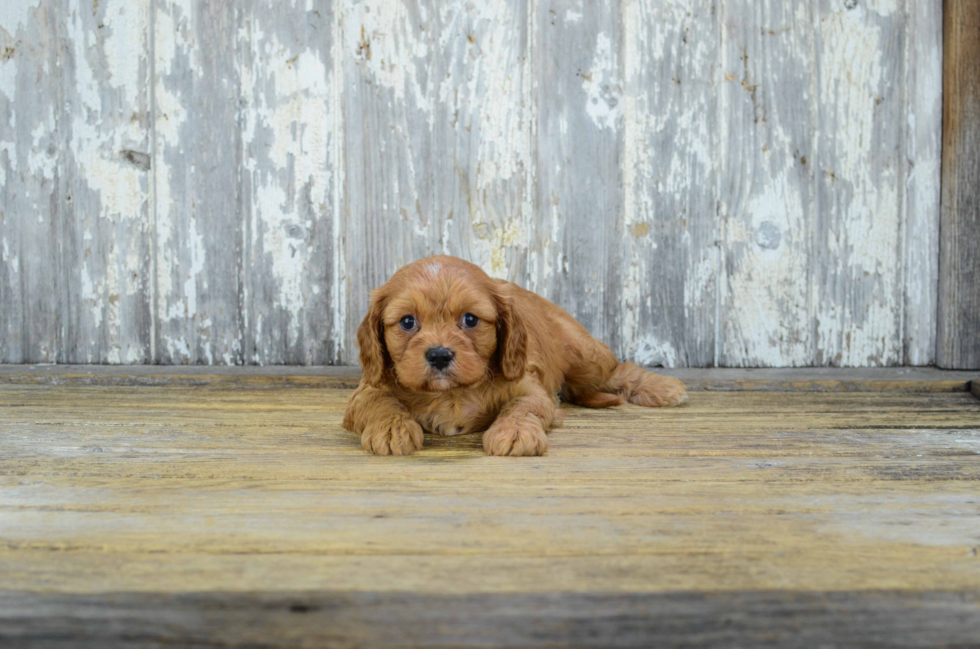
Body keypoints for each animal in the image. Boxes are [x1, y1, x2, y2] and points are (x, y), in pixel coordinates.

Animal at [344, 256, 688, 458]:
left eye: (470, 320)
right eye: (407, 322)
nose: (439, 355)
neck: (451, 394)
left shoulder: (531, 388)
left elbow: (521, 406)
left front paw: (515, 431)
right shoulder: (365, 391)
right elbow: (381, 403)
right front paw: (392, 428)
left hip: (584, 355)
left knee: (618, 370)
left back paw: (664, 388)